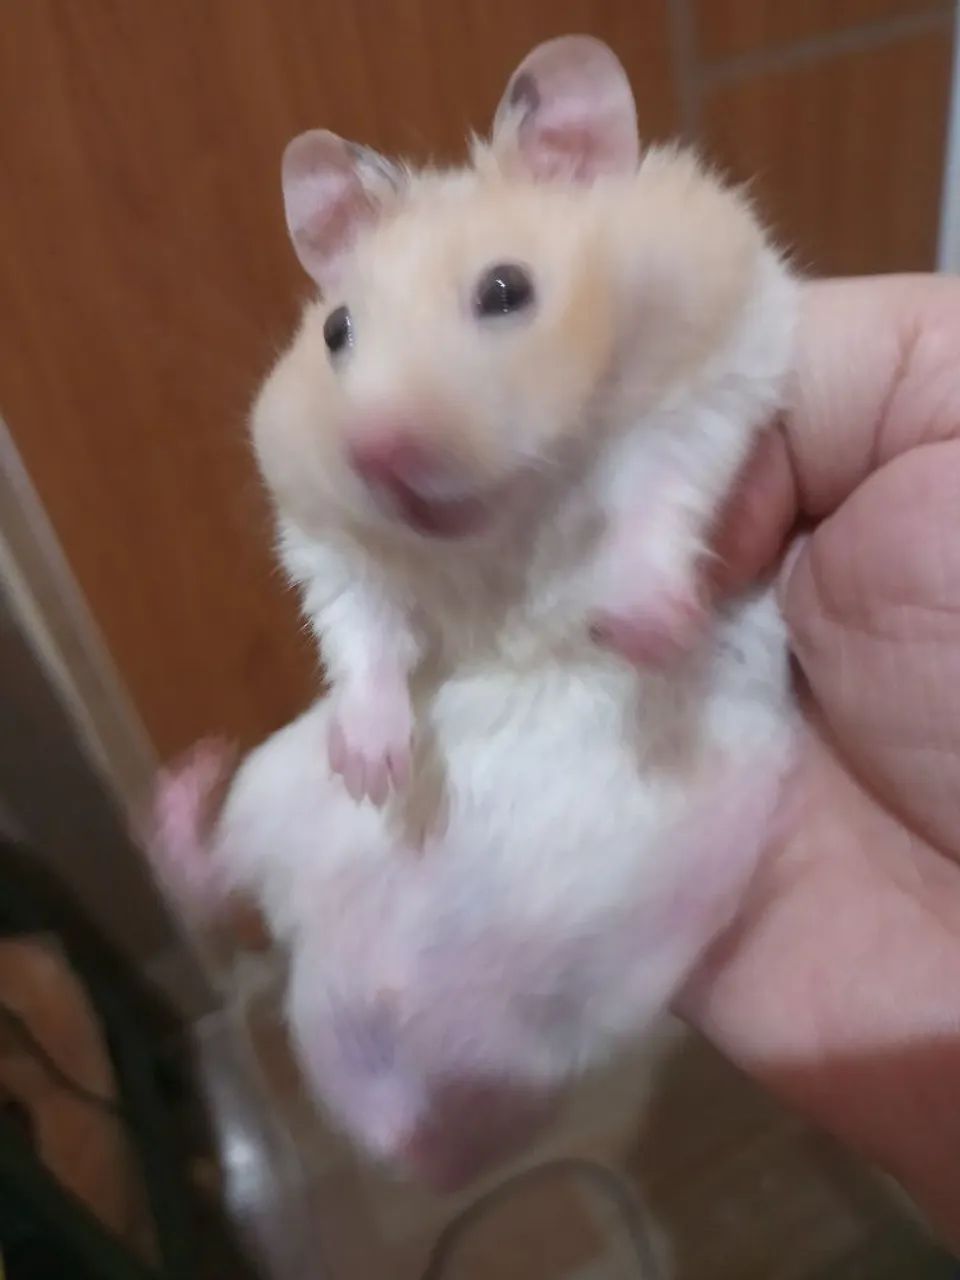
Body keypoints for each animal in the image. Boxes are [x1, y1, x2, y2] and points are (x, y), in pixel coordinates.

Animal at [149, 35, 798, 1192]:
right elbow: (360, 633)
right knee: (217, 878)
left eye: (507, 290)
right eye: (336, 329)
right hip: (276, 787)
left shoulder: (719, 379)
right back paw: (184, 790)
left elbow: (657, 500)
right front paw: (378, 763)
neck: (501, 528)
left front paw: (646, 626)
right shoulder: (323, 539)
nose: (377, 452)